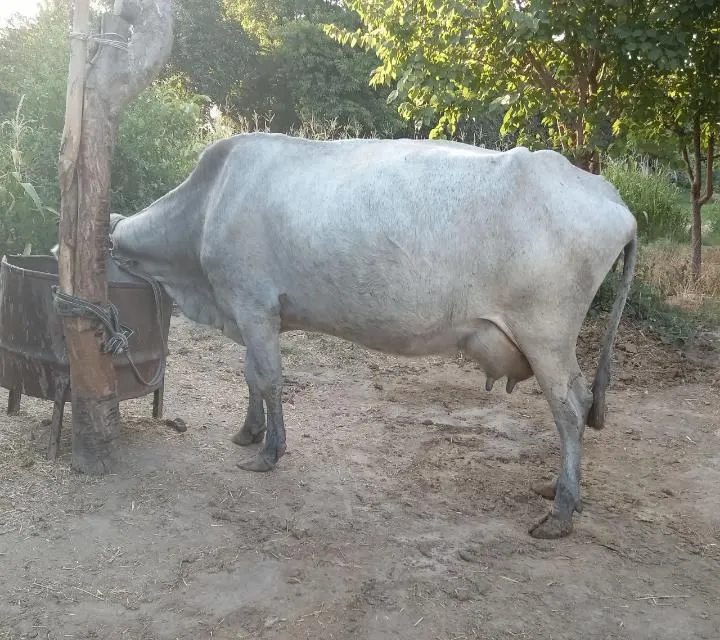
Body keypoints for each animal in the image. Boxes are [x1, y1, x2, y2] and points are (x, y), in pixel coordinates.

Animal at [96, 132, 636, 538]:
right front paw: (248, 433)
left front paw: (269, 451)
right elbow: (250, 375)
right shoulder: (253, 312)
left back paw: (561, 508)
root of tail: (606, 194)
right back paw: (560, 492)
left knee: (572, 409)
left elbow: (268, 378)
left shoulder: (252, 304)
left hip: (547, 335)